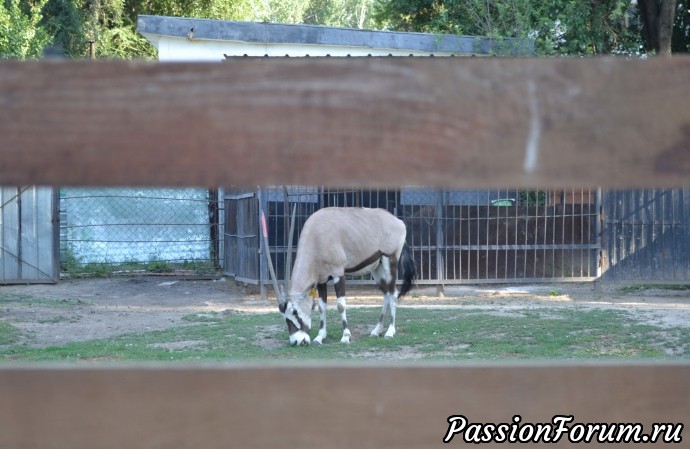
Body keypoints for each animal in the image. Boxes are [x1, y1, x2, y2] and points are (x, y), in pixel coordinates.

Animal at [262, 206, 414, 346]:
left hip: (390, 260)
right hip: (377, 267)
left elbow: (341, 305)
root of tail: (398, 221)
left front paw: (346, 337)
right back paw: (376, 331)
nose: (296, 341)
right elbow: (322, 307)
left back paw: (390, 331)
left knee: (393, 294)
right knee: (386, 294)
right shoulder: (322, 279)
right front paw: (319, 337)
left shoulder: (338, 274)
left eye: (294, 311)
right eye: (283, 315)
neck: (316, 236)